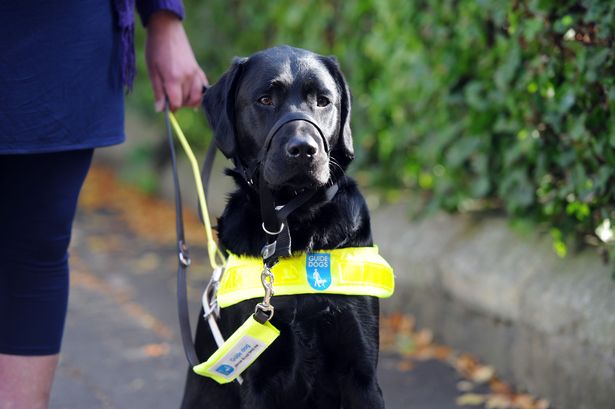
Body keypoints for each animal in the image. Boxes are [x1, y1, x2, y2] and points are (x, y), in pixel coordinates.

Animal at [179, 46, 384, 406]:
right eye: (265, 100)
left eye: (323, 100)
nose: (303, 150)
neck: (294, 225)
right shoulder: (258, 380)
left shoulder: (362, 375)